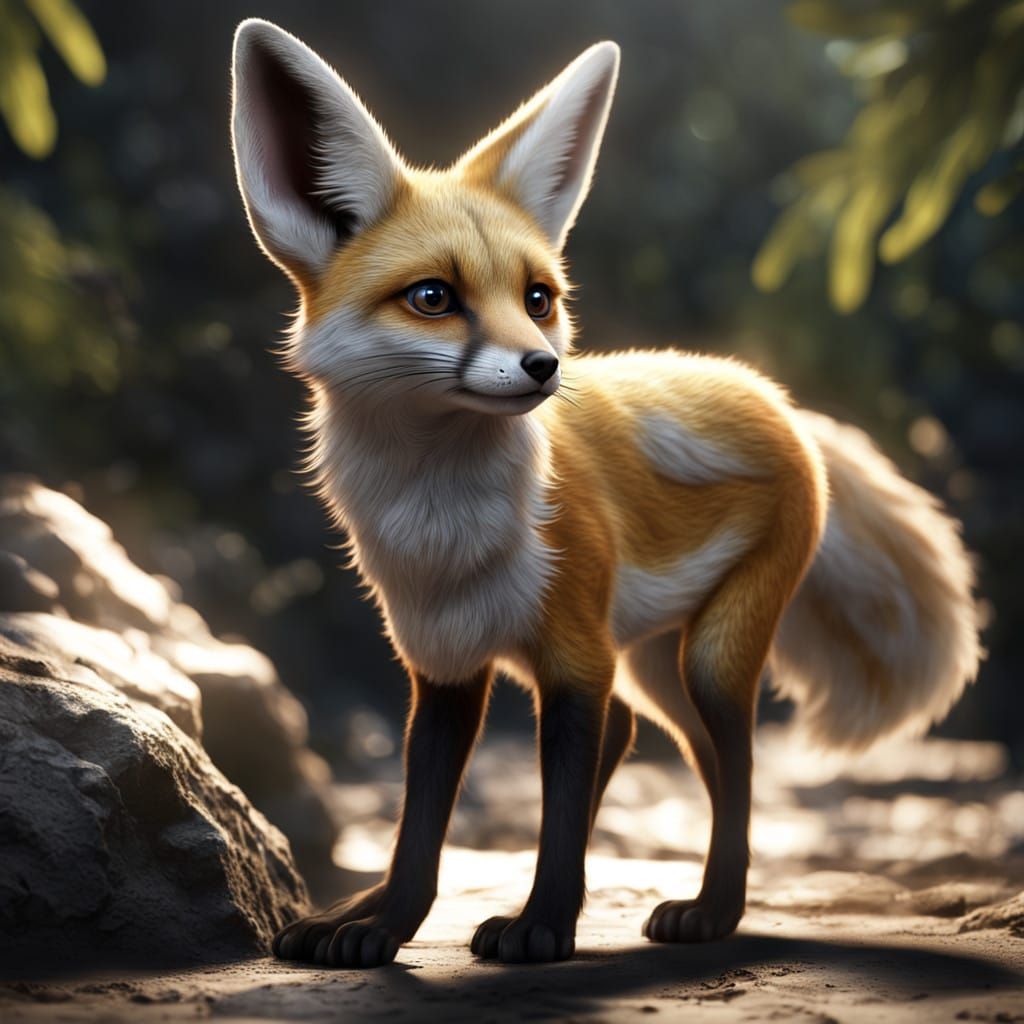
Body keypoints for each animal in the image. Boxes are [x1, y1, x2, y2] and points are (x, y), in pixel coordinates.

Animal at [230, 19, 981, 968]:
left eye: (537, 298)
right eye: (433, 297)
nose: (545, 367)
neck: (445, 528)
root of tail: (773, 396)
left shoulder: (575, 660)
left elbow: (555, 808)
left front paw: (545, 926)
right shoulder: (444, 662)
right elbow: (420, 825)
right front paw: (382, 923)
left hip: (707, 656)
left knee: (734, 764)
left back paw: (713, 911)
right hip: (653, 663)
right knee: (660, 743)